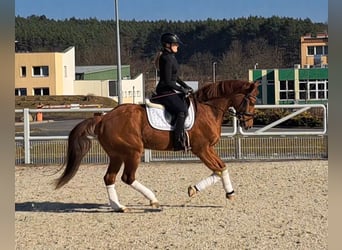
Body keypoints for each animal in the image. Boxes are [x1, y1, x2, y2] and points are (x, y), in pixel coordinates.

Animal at [56, 79, 260, 212]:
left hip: (117, 155)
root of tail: (103, 118)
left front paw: (207, 190)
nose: (249, 124)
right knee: (127, 177)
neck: (208, 109)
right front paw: (218, 192)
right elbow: (218, 168)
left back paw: (118, 206)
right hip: (132, 152)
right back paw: (153, 200)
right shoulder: (201, 149)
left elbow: (221, 168)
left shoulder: (208, 148)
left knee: (109, 178)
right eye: (251, 100)